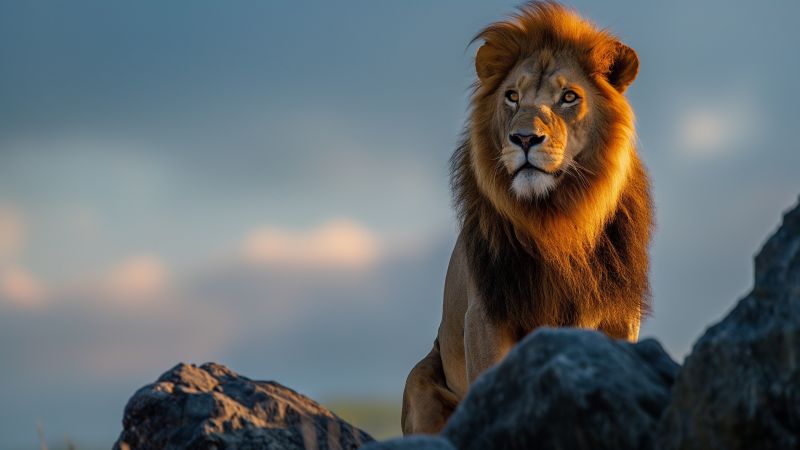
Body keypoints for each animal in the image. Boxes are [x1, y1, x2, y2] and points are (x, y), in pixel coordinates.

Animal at [401, 1, 653, 435]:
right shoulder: (486, 315)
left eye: (568, 97)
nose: (523, 139)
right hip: (418, 382)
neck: (557, 221)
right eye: (512, 97)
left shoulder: (620, 316)